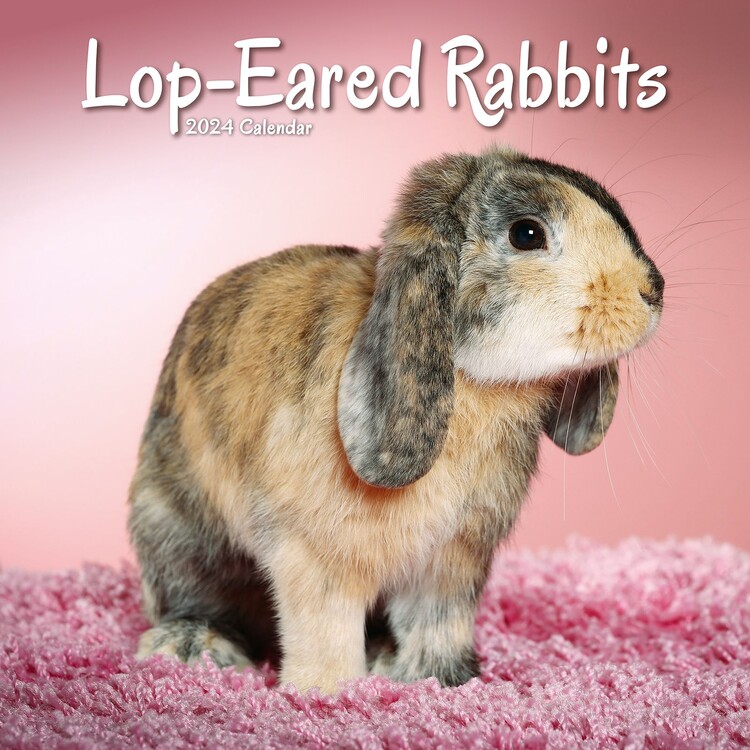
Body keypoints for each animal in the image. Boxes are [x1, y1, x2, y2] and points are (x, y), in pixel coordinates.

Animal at [128, 147, 664, 694]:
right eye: (526, 233)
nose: (653, 290)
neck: (472, 386)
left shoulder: (452, 561)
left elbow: (439, 622)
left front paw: (441, 679)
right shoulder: (314, 553)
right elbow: (323, 626)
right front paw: (326, 691)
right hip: (179, 532)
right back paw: (194, 647)